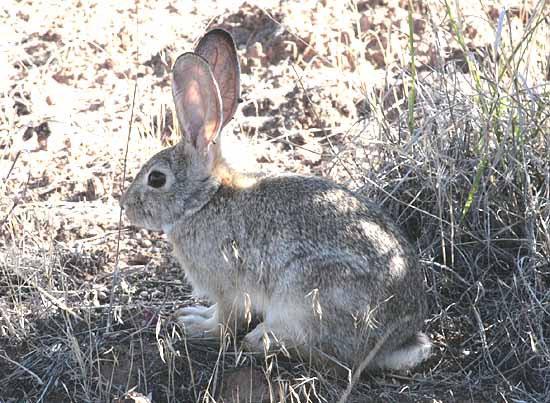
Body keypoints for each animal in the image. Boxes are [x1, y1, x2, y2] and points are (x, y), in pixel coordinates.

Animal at [119, 28, 432, 374]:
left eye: (156, 179)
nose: (125, 205)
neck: (205, 200)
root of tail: (394, 342)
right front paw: (194, 316)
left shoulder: (228, 288)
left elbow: (225, 322)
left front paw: (197, 326)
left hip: (309, 295)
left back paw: (263, 340)